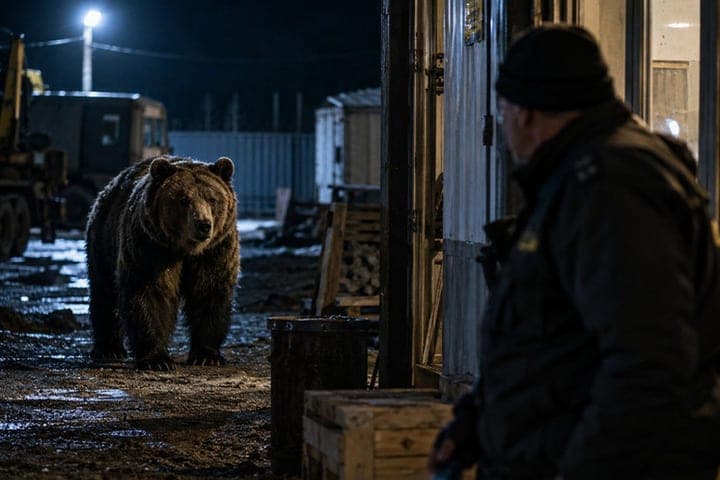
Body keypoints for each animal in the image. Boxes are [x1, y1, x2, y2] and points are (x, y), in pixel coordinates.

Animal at [86, 155, 240, 371]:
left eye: (212, 199)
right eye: (184, 200)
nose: (203, 225)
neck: (186, 250)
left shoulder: (215, 250)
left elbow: (210, 292)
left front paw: (207, 355)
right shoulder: (151, 247)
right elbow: (150, 293)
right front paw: (157, 360)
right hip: (104, 240)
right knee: (104, 291)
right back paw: (109, 348)